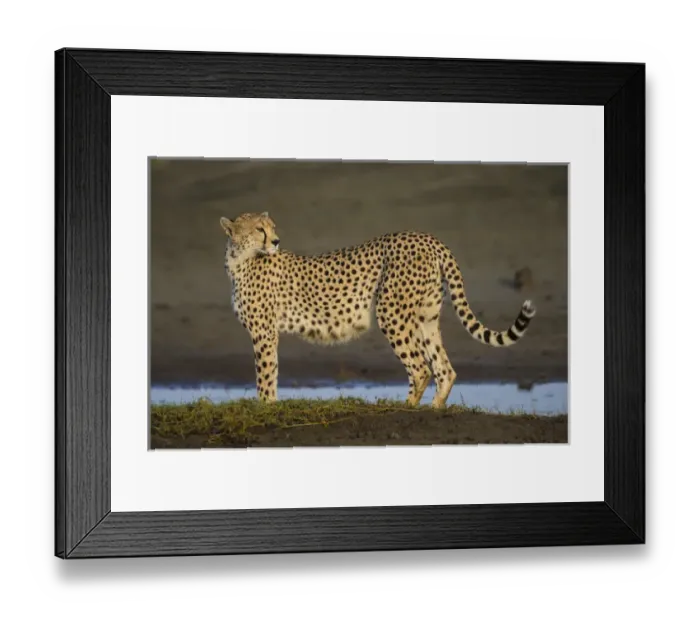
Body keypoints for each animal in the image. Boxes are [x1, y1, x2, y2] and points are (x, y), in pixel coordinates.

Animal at [220, 211, 536, 408]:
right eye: (260, 229)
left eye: (272, 227)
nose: (276, 241)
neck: (240, 260)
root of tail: (428, 237)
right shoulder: (266, 333)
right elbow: (270, 372)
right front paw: (270, 405)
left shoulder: (263, 333)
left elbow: (265, 374)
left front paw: (265, 408)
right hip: (426, 316)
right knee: (444, 369)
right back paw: (434, 408)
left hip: (391, 312)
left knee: (421, 368)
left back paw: (406, 408)